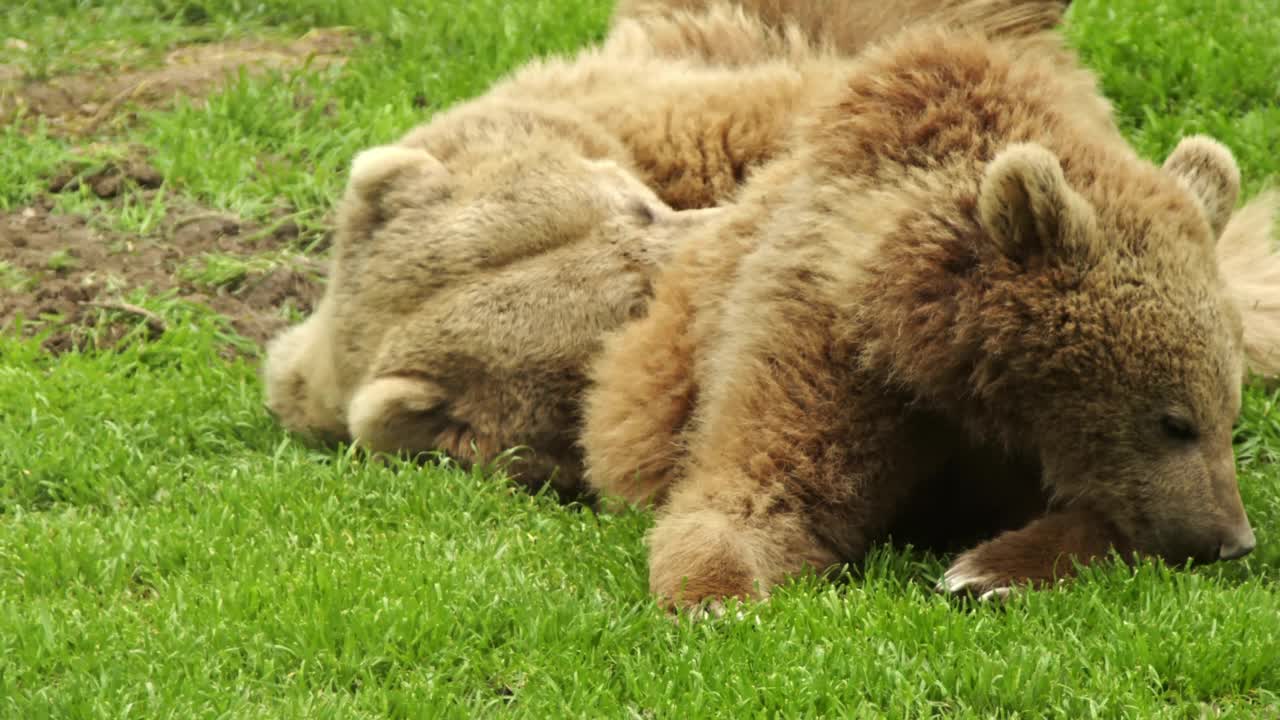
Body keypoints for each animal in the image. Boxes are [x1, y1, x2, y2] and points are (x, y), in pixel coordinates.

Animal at [586, 23, 1264, 604]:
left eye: (1227, 413)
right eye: (1175, 422)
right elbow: (765, 485)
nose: (1233, 540)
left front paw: (984, 569)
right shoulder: (828, 341)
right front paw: (715, 594)